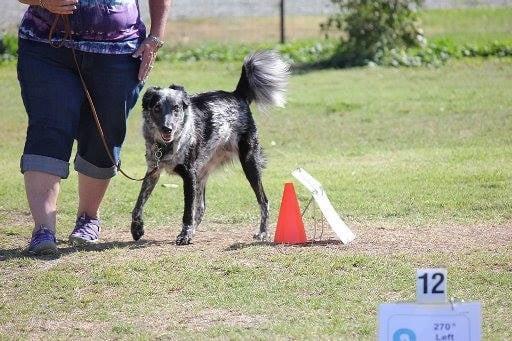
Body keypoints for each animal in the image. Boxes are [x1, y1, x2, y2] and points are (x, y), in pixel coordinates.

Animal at [130, 50, 290, 244]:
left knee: (263, 201)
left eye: (176, 108)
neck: (166, 146)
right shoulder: (153, 172)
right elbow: (139, 203)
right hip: (202, 172)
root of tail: (236, 94)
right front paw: (137, 228)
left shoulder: (189, 175)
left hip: (249, 162)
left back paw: (262, 232)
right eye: (156, 108)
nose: (167, 128)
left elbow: (187, 212)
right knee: (201, 207)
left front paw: (184, 235)